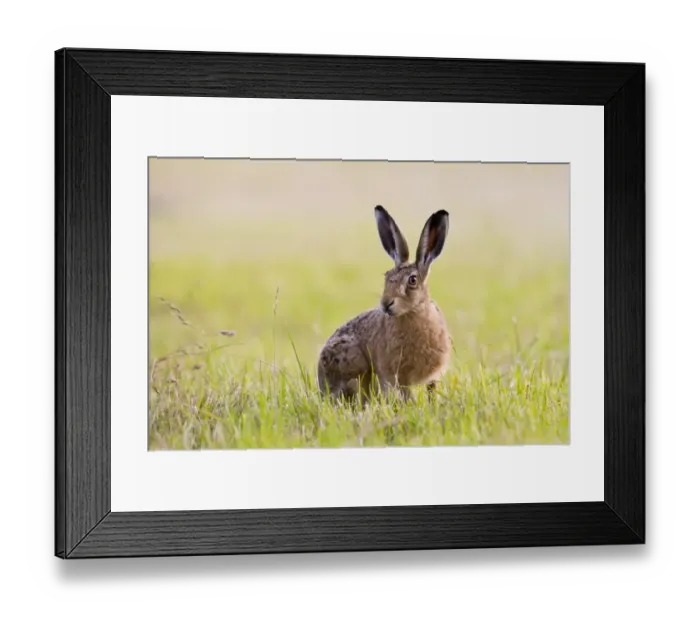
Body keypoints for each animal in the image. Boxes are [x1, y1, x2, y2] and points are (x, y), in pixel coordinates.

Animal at [317, 205, 452, 404]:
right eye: (386, 277)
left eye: (412, 280)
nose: (386, 304)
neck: (414, 313)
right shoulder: (398, 375)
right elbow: (406, 394)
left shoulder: (433, 376)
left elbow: (430, 391)